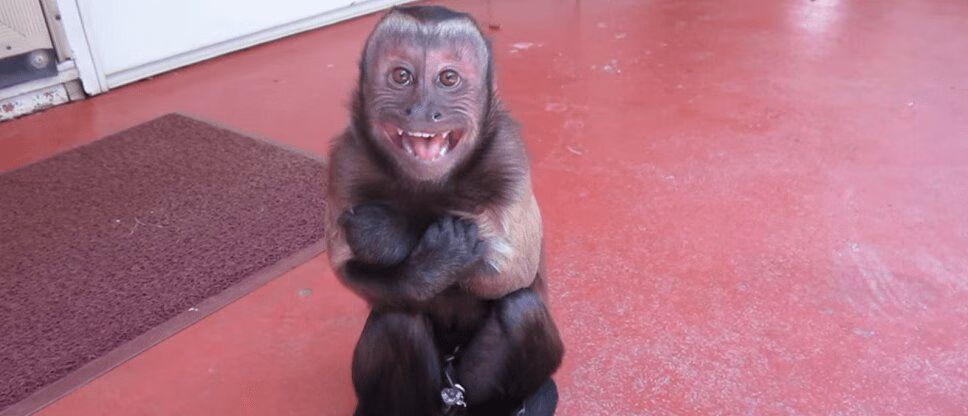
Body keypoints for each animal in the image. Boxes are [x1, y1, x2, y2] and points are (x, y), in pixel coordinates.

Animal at [324, 6, 564, 416]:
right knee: (397, 320)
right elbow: (346, 269)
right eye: (401, 76)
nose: (422, 110)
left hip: (474, 385)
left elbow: (514, 268)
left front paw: (390, 231)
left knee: (522, 310)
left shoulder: (509, 155)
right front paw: (426, 261)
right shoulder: (345, 163)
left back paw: (507, 405)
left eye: (448, 78)